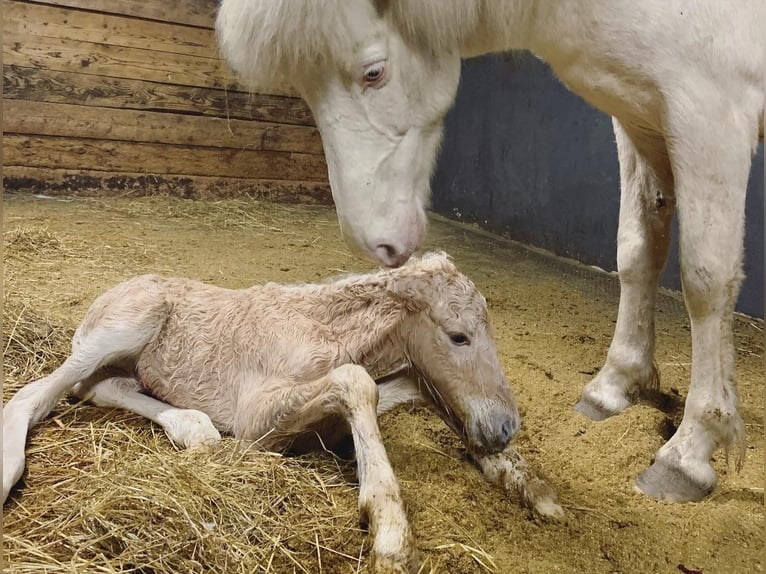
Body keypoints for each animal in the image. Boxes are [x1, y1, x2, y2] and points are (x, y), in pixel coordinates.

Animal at [3, 254, 560, 572]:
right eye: (458, 336)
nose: (505, 427)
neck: (328, 333)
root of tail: (109, 294)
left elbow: (418, 390)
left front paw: (528, 484)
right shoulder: (255, 419)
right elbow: (358, 383)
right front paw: (391, 534)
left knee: (104, 385)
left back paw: (194, 427)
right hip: (127, 324)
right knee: (43, 392)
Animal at [218, 0, 766, 504]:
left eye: (374, 72)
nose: (378, 242)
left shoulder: (710, 112)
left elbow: (705, 278)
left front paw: (690, 450)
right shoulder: (639, 115)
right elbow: (636, 252)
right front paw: (614, 386)